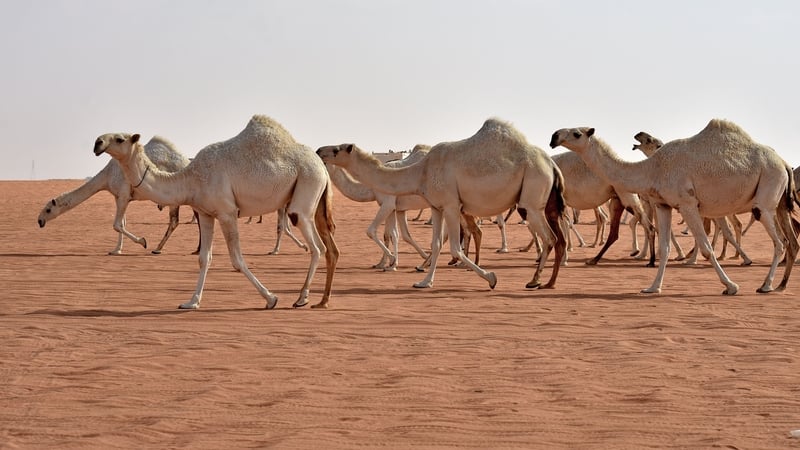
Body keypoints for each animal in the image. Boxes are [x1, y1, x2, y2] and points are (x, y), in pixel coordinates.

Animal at [38, 136, 194, 255]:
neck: (107, 176)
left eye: (48, 210)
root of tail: (186, 161)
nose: (40, 221)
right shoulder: (118, 196)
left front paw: (143, 242)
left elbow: (117, 225)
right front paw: (116, 250)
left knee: (174, 221)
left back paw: (158, 249)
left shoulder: (124, 194)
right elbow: (122, 224)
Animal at [93, 115, 338, 309]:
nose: (97, 143)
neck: (191, 179)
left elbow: (237, 260)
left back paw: (302, 298)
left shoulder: (227, 212)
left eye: (120, 139)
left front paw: (271, 298)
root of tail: (322, 166)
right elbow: (204, 258)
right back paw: (316, 299)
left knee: (316, 246)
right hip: (313, 199)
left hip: (306, 186)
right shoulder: (205, 213)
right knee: (326, 247)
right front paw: (191, 302)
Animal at [317, 118, 566, 290]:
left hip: (532, 197)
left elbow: (453, 245)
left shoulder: (449, 205)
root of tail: (552, 165)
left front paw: (491, 278)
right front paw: (424, 281)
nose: (319, 150)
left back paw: (538, 281)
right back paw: (546, 280)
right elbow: (435, 243)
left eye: (337, 149)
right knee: (555, 237)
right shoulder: (436, 207)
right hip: (539, 202)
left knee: (549, 237)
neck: (421, 171)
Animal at [550, 119, 798, 294]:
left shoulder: (687, 203)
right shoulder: (663, 205)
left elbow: (706, 248)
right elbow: (665, 247)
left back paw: (766, 285)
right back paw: (780, 284)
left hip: (766, 194)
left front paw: (731, 286)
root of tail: (784, 162)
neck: (654, 168)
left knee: (780, 241)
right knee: (789, 240)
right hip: (778, 203)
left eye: (577, 133)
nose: (554, 136)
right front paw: (652, 287)